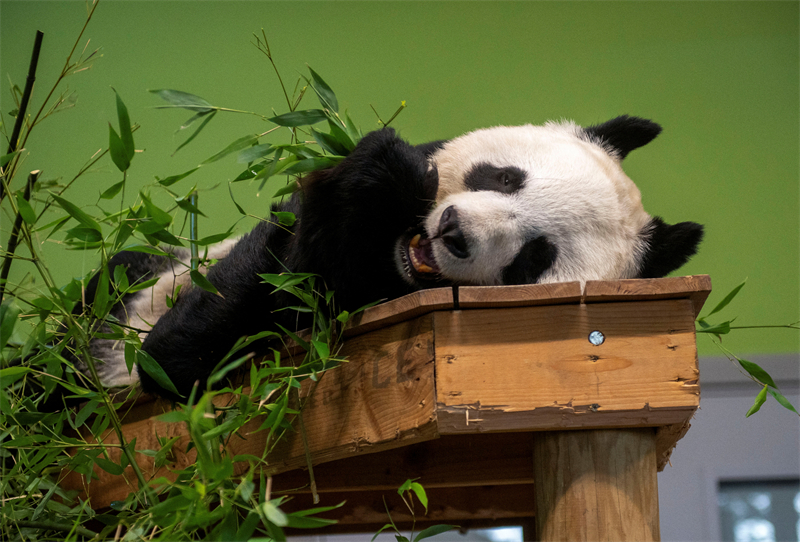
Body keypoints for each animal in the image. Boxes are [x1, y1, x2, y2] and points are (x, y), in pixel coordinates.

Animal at [84, 115, 703, 401]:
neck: (393, 261)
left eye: (534, 258)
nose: (454, 232)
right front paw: (394, 168)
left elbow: (181, 359)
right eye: (504, 178)